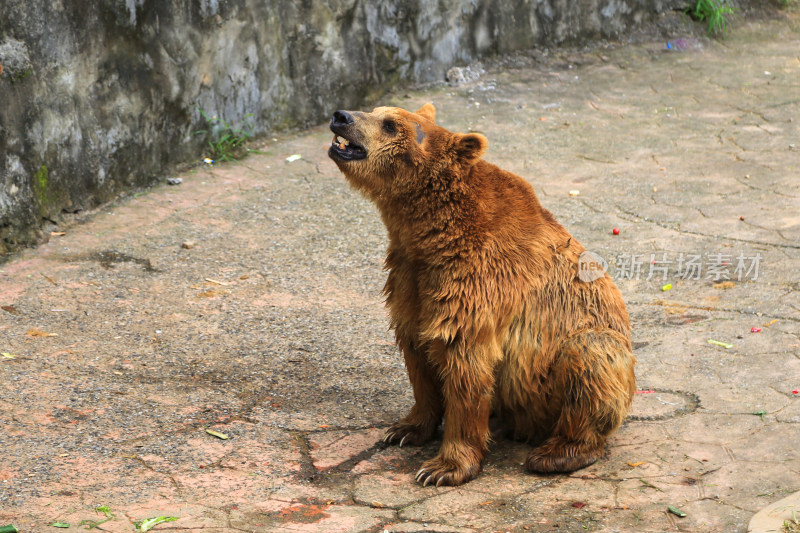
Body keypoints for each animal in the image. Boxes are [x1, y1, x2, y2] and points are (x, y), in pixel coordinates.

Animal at [328, 103, 636, 486]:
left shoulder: (479, 284)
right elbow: (416, 354)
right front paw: (405, 429)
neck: (427, 232)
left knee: (591, 358)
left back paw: (557, 453)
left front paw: (442, 467)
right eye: (376, 110)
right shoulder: (410, 280)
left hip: (574, 362)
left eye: (390, 124)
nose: (341, 116)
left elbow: (464, 365)